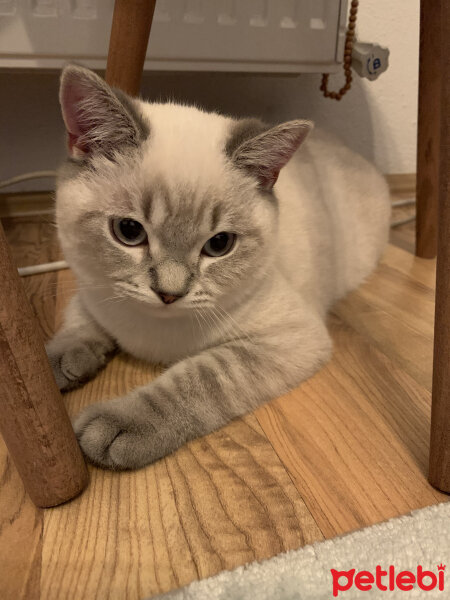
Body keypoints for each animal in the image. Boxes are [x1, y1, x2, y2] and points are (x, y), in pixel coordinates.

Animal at [46, 64, 390, 468]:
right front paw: (53, 368)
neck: (146, 332)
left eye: (219, 245)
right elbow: (77, 325)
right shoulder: (91, 289)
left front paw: (117, 427)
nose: (169, 294)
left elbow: (200, 376)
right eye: (129, 231)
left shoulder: (290, 338)